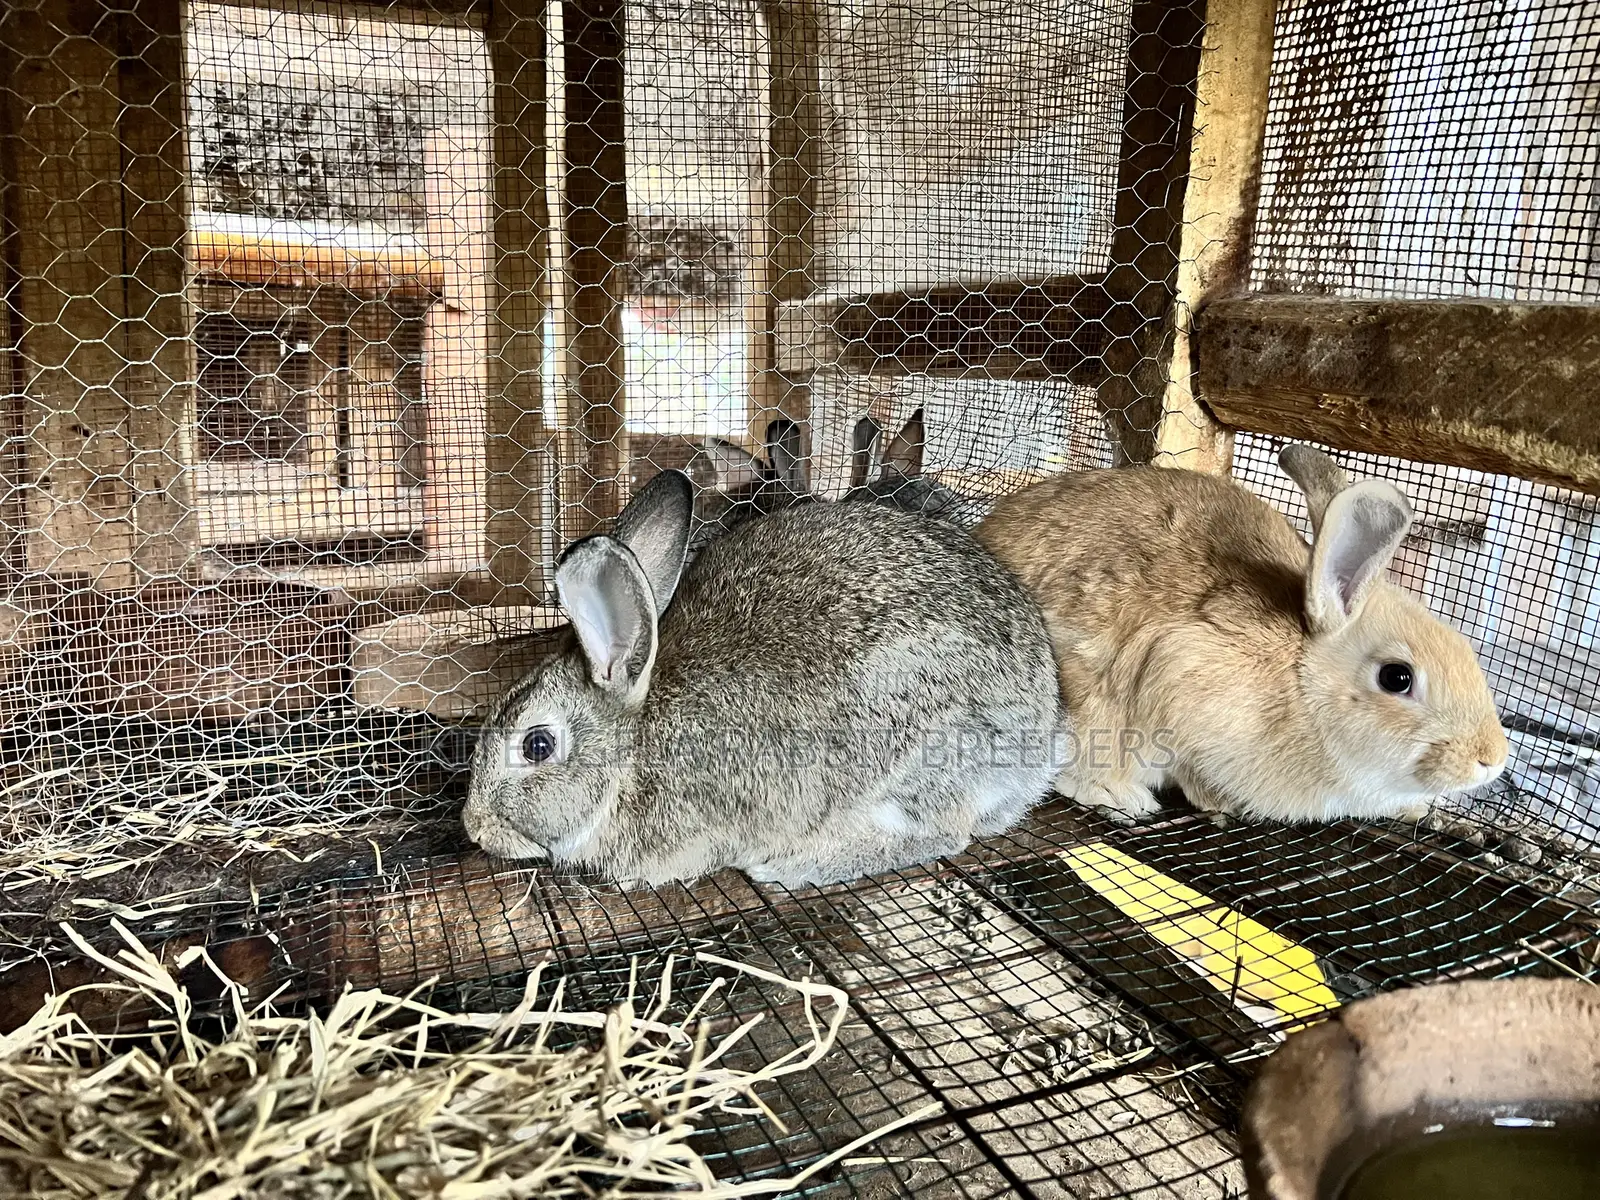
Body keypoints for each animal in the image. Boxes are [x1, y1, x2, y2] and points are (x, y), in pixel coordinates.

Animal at [463, 467, 1063, 888]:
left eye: (537, 746)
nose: (474, 828)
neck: (633, 748)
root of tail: (1037, 757)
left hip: (912, 748)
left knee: (944, 834)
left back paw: (791, 867)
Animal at [973, 444, 1510, 825]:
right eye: (1397, 678)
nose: (1491, 759)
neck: (1301, 681)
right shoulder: (1176, 673)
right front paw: (1209, 800)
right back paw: (1121, 796)